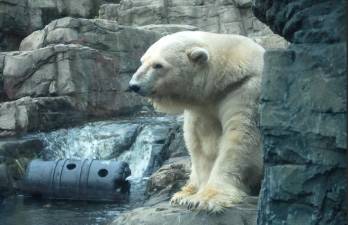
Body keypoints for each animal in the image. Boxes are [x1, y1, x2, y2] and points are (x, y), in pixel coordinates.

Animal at [128, 31, 264, 213]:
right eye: (142, 61)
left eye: (158, 65)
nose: (134, 85)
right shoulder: (203, 105)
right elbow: (202, 142)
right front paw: (193, 197)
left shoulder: (246, 90)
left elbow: (240, 138)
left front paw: (205, 198)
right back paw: (182, 193)